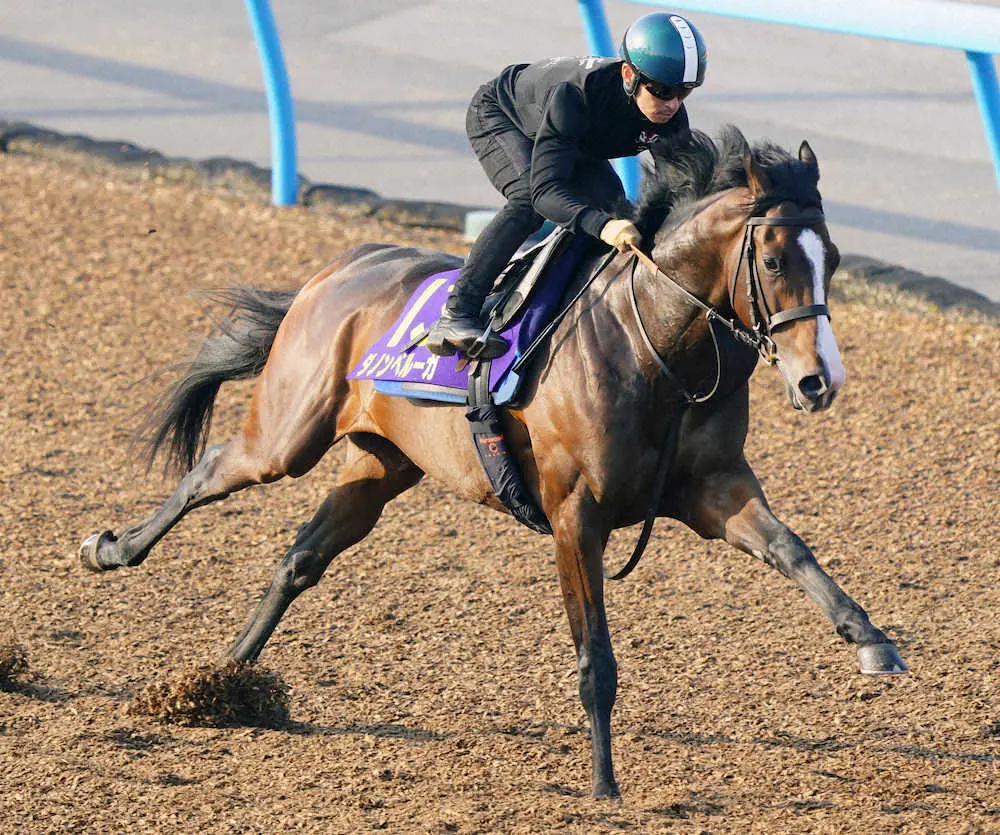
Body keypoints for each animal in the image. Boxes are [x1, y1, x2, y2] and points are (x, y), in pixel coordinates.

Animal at [80, 127, 908, 800]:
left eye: (833, 259)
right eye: (772, 258)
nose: (820, 380)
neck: (656, 347)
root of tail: (336, 270)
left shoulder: (715, 488)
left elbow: (793, 550)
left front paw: (873, 640)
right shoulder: (576, 515)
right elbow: (595, 655)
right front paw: (604, 781)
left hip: (381, 463)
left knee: (300, 558)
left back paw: (226, 677)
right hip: (289, 434)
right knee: (216, 466)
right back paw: (110, 549)